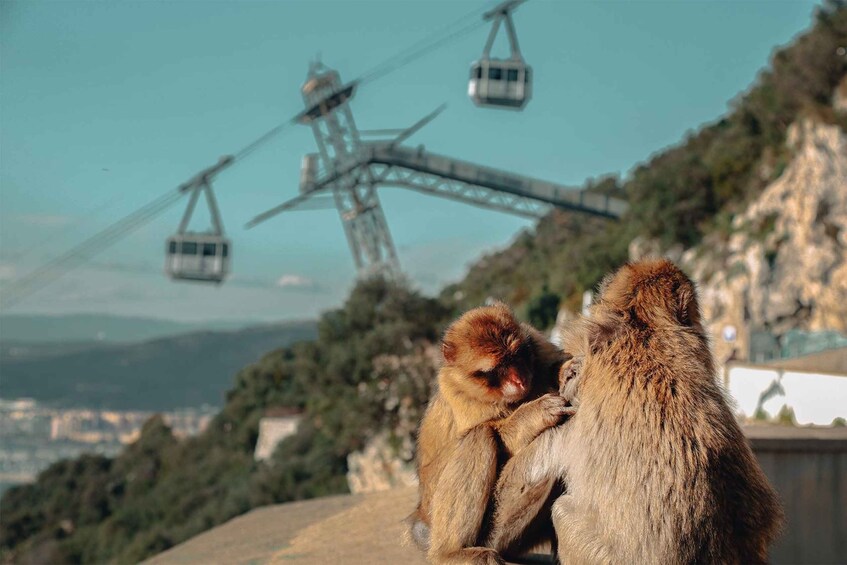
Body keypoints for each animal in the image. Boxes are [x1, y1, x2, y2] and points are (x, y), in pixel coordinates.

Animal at [410, 304, 572, 564]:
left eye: (516, 355)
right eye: (496, 369)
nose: (519, 379)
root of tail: (421, 515)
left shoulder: (533, 339)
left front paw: (564, 370)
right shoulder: (457, 393)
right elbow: (499, 435)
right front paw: (536, 412)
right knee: (479, 437)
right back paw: (449, 552)